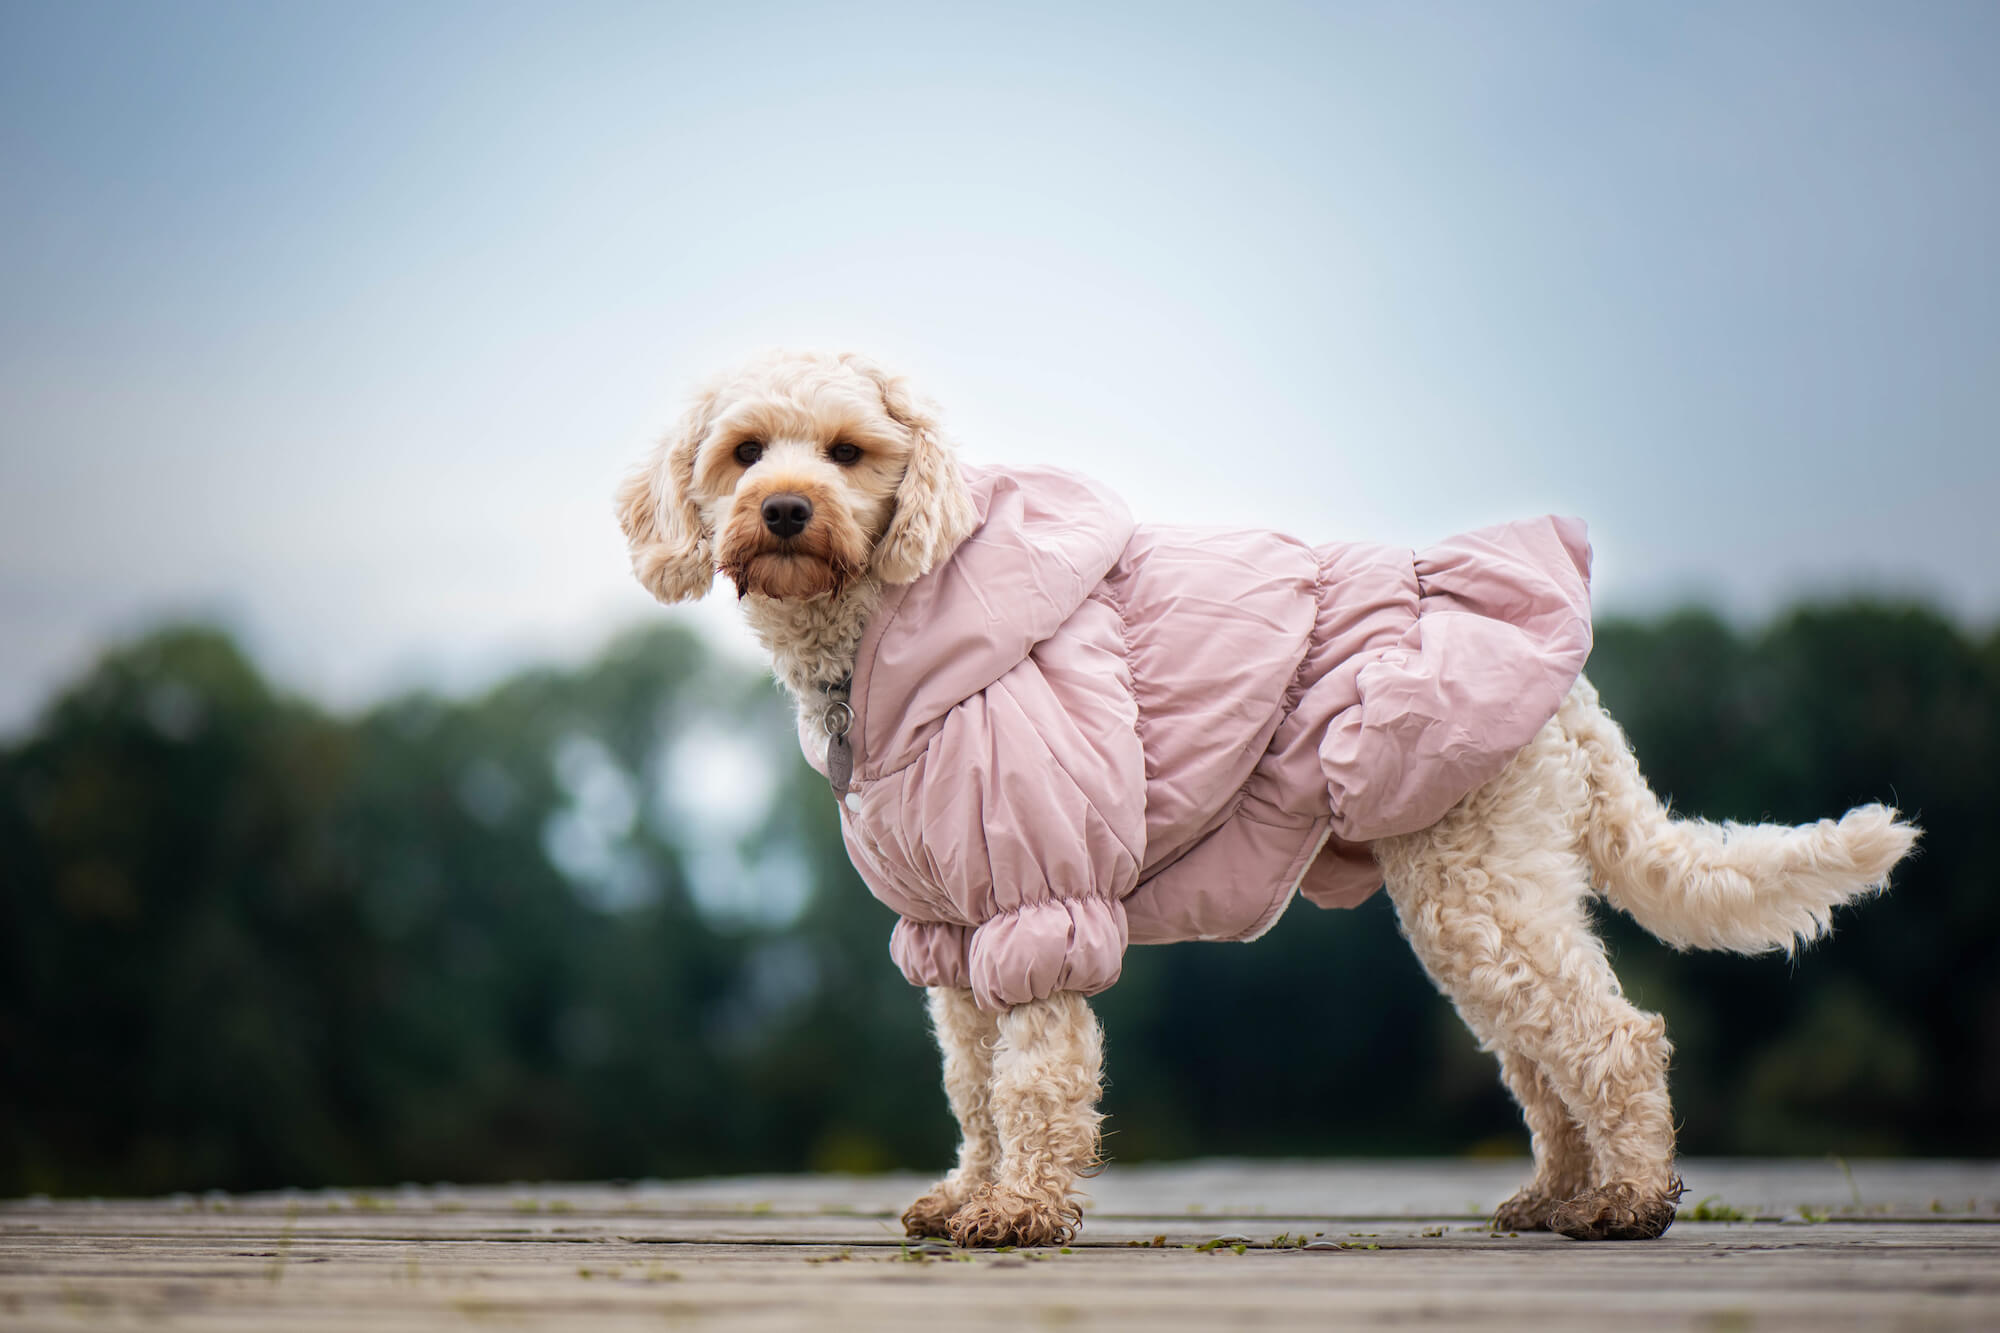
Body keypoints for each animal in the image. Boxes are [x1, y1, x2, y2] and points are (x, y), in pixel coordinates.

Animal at [612, 350, 1920, 1248]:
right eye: (745, 452)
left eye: (844, 451)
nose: (785, 509)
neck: (886, 631)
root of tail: (1579, 700)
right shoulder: (949, 930)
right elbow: (971, 1089)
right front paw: (967, 1196)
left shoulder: (1039, 897)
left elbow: (1030, 1082)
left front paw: (1020, 1213)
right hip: (1470, 895)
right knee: (1537, 1060)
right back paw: (1558, 1195)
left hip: (1476, 889)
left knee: (1612, 1036)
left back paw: (1631, 1200)